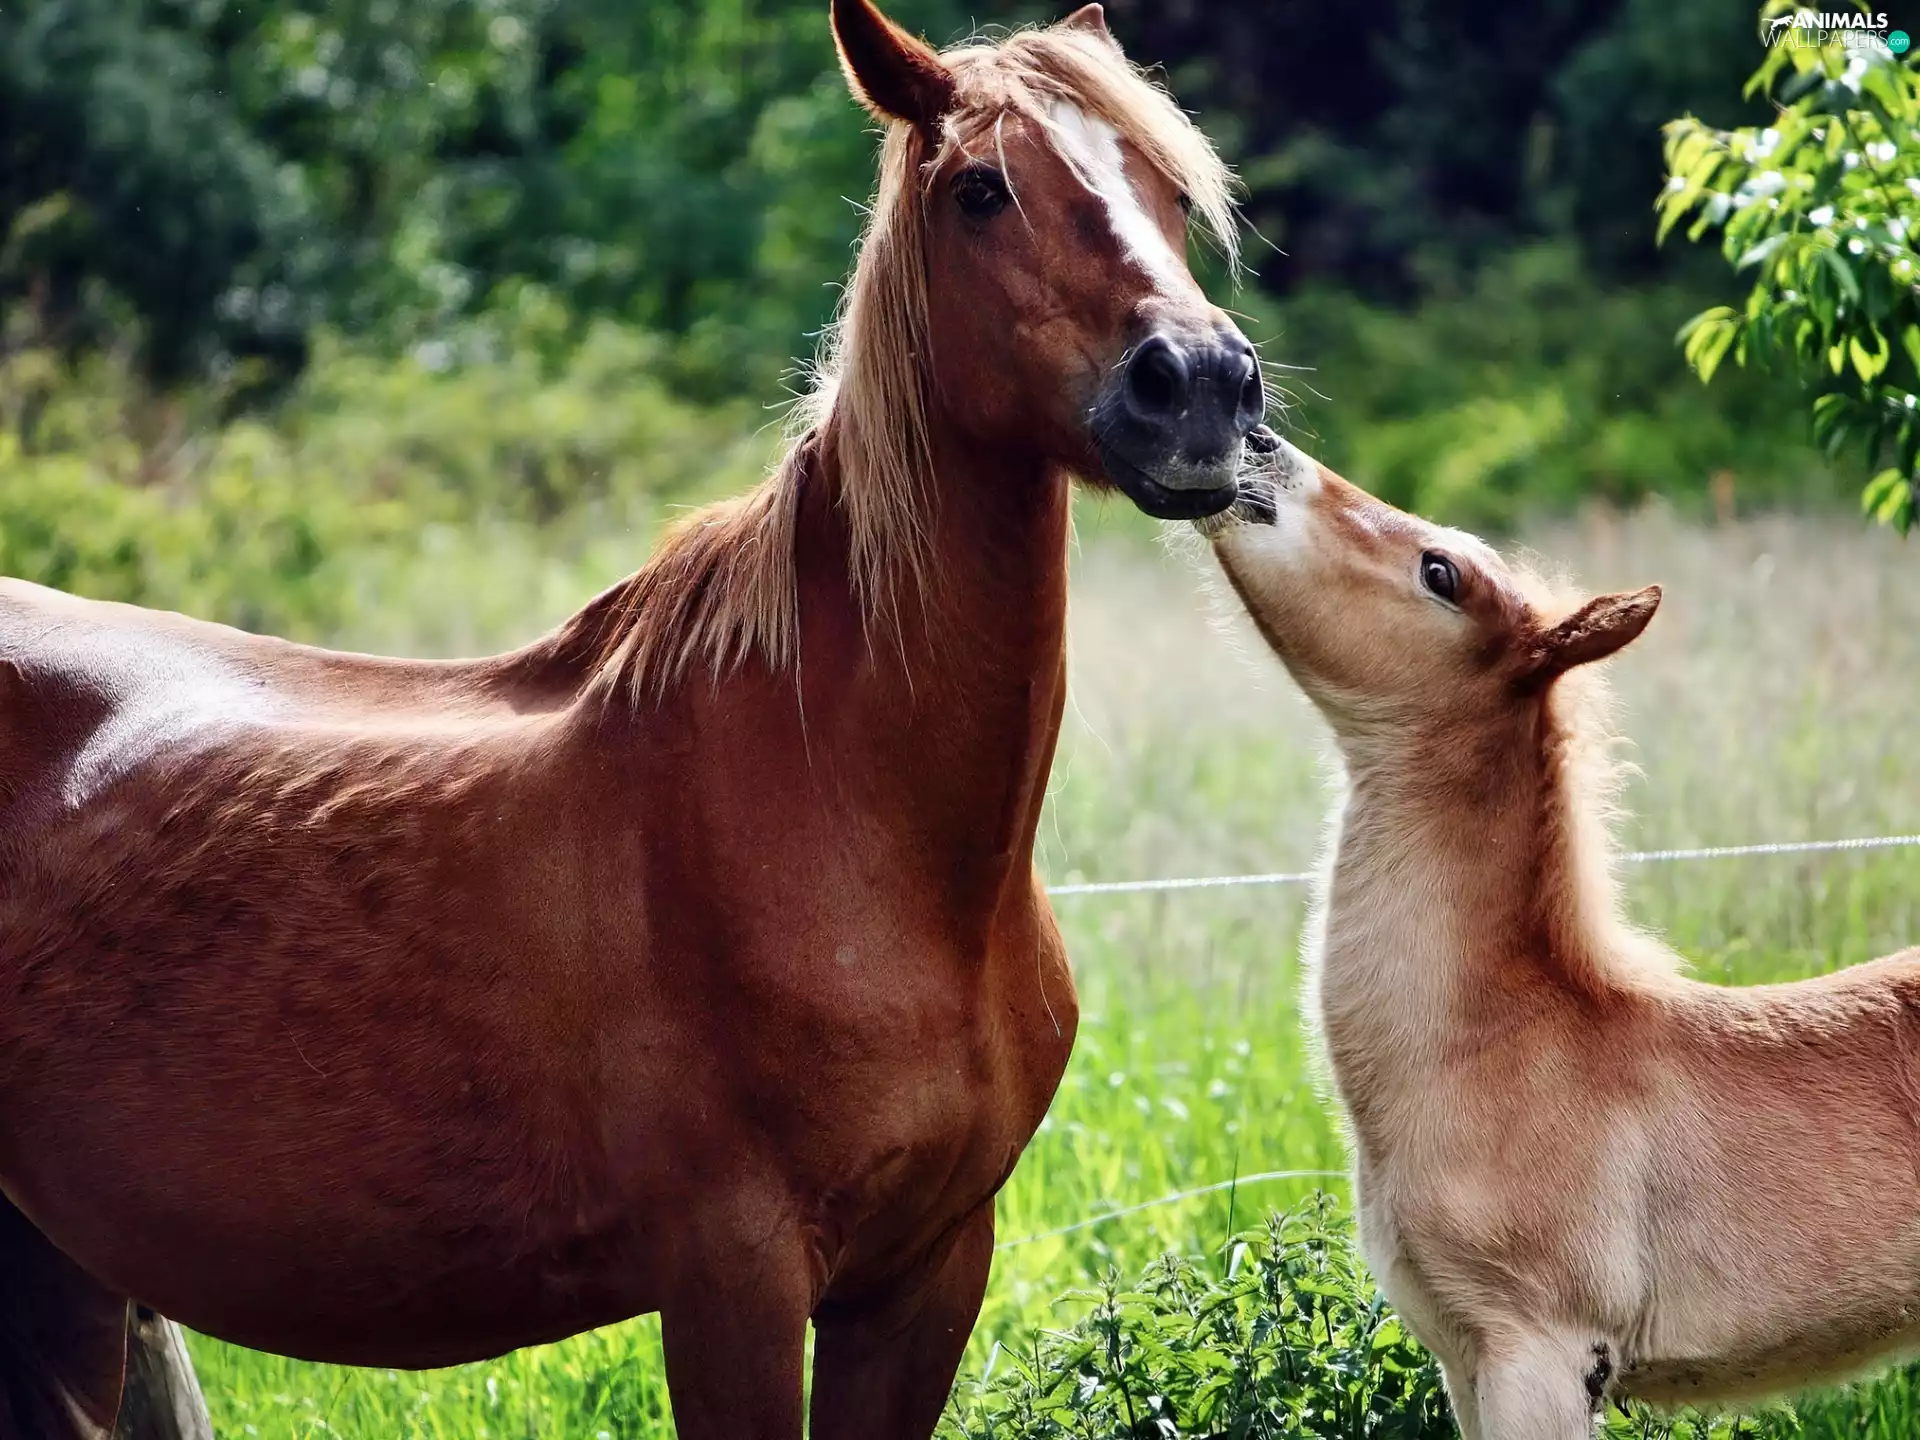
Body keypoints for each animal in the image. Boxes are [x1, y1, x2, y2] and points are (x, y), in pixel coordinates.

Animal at [0, 4, 1266, 1437]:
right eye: (979, 191)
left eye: (1173, 192)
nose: (1200, 386)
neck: (857, 817)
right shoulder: (733, 1279)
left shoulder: (928, 1273)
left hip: (56, 1266)